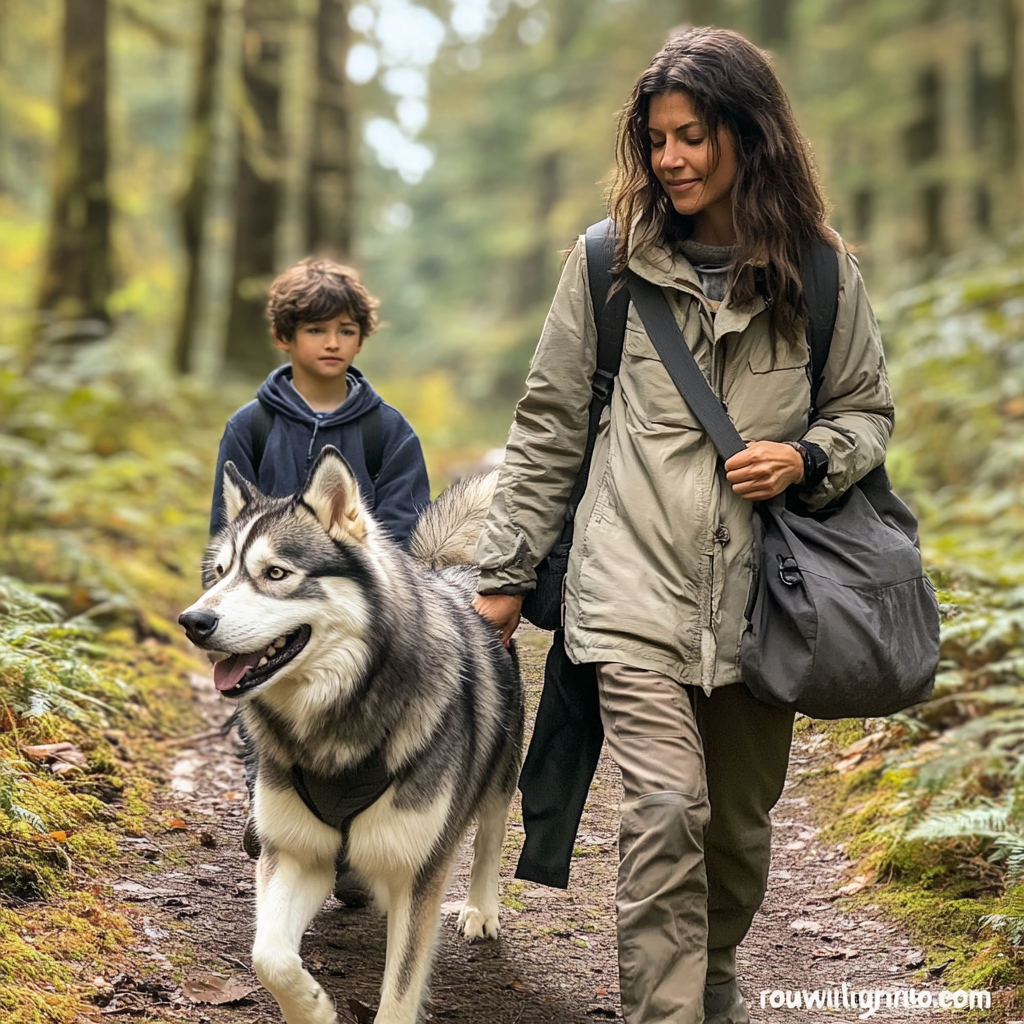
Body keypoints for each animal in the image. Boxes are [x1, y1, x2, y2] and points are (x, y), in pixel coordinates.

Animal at [177, 450, 524, 1024]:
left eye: (275, 573)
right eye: (220, 573)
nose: (192, 620)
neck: (338, 726)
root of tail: (447, 575)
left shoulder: (419, 870)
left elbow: (401, 989)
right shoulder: (295, 851)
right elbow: (268, 956)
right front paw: (313, 1008)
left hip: (499, 772)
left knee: (490, 836)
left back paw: (480, 909)